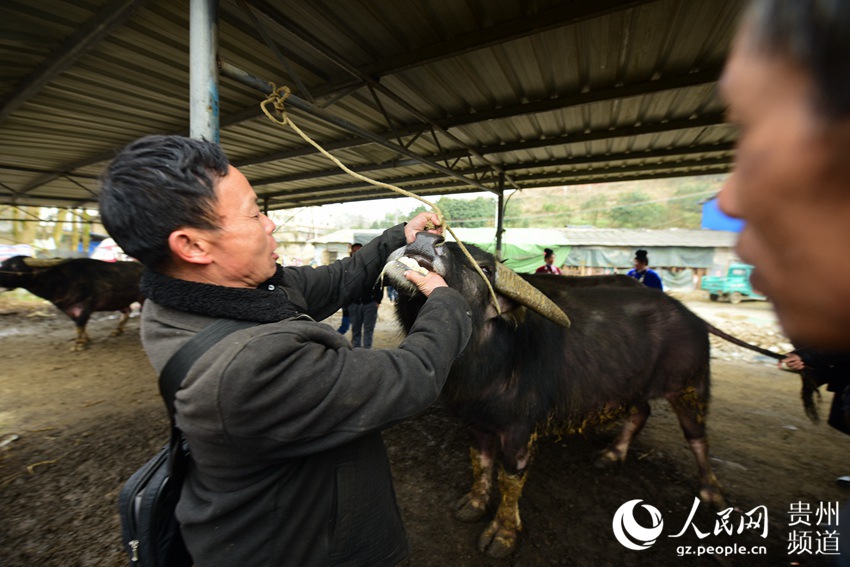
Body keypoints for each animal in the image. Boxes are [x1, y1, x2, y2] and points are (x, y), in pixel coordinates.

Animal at [0, 256, 144, 350]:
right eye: (4, 263)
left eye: (16, 266)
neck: (62, 280)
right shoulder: (68, 309)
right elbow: (79, 324)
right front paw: (85, 339)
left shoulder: (87, 305)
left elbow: (80, 323)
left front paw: (78, 344)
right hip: (120, 300)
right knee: (127, 311)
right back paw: (117, 330)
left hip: (141, 298)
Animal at [380, 234, 724, 560]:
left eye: (486, 269)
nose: (426, 239)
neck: (491, 357)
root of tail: (692, 317)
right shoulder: (475, 421)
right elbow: (481, 463)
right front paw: (475, 503)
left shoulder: (519, 431)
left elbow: (510, 479)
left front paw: (503, 533)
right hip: (634, 384)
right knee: (641, 412)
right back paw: (612, 454)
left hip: (690, 387)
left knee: (697, 437)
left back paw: (711, 492)